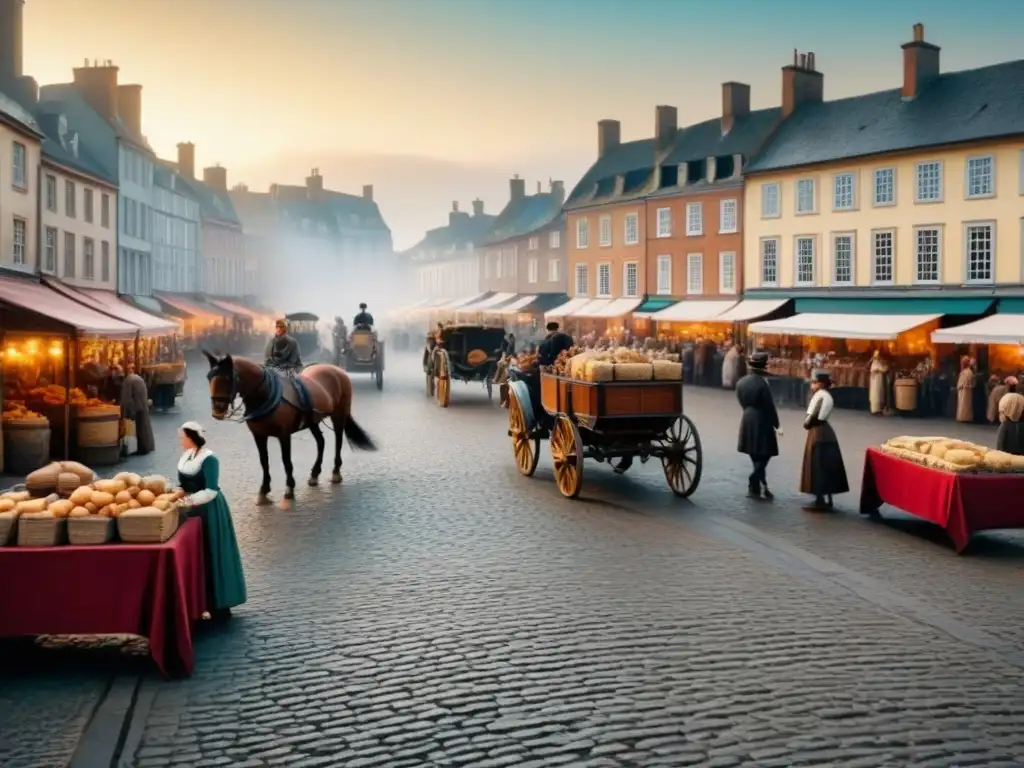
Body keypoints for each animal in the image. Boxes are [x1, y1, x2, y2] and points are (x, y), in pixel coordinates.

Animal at [202, 354, 376, 507]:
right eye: (209, 377)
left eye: (227, 378)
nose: (217, 410)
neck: (266, 395)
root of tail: (337, 370)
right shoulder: (259, 435)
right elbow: (264, 461)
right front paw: (264, 491)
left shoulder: (284, 435)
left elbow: (286, 461)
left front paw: (289, 489)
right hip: (312, 420)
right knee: (321, 442)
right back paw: (314, 474)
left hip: (339, 414)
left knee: (338, 439)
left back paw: (336, 472)